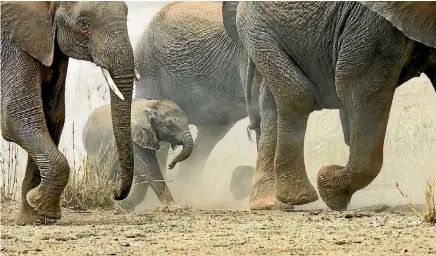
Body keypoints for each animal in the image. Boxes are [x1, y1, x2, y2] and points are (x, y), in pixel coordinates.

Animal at [0, 1, 141, 224]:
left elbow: (53, 117)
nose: (115, 193)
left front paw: (34, 217)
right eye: (83, 23)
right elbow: (16, 119)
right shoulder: (12, 47)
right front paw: (41, 207)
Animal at [223, 1, 436, 211]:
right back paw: (297, 198)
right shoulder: (372, 25)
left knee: (272, 105)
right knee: (297, 93)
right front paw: (332, 192)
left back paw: (272, 201)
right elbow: (359, 82)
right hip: (260, 32)